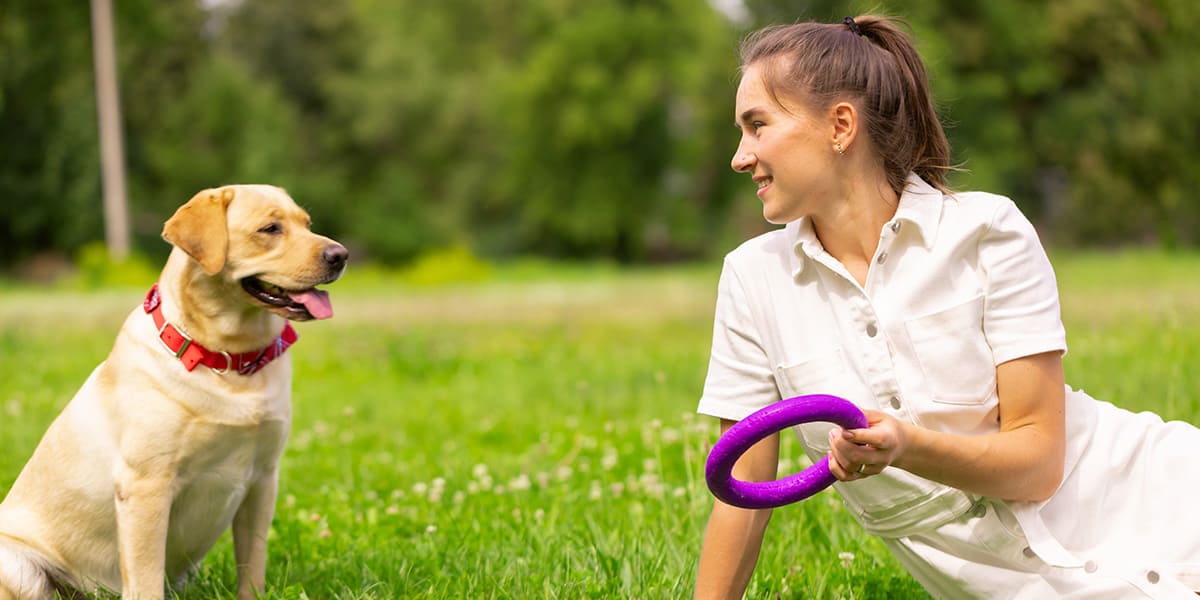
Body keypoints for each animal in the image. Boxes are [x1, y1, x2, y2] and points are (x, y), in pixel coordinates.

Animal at [0, 184, 348, 597]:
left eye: (307, 225)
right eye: (270, 228)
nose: (340, 255)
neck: (228, 359)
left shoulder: (263, 478)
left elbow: (253, 566)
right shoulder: (147, 485)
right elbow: (146, 578)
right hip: (18, 567)